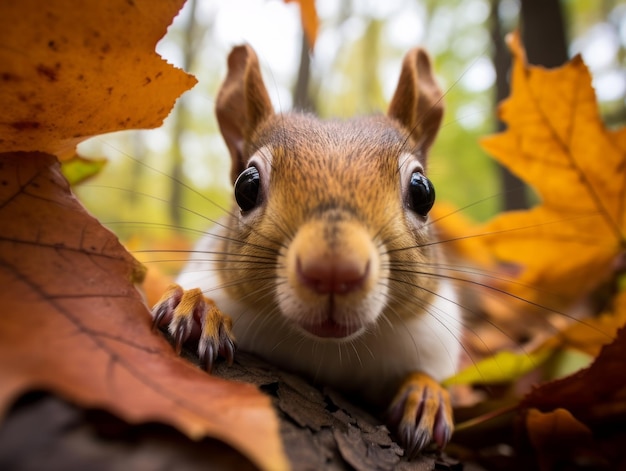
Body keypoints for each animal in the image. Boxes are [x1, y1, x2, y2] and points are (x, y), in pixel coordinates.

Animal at [151, 43, 464, 458]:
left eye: (423, 192)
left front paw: (426, 394)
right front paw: (200, 307)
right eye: (246, 186)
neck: (325, 350)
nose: (333, 270)